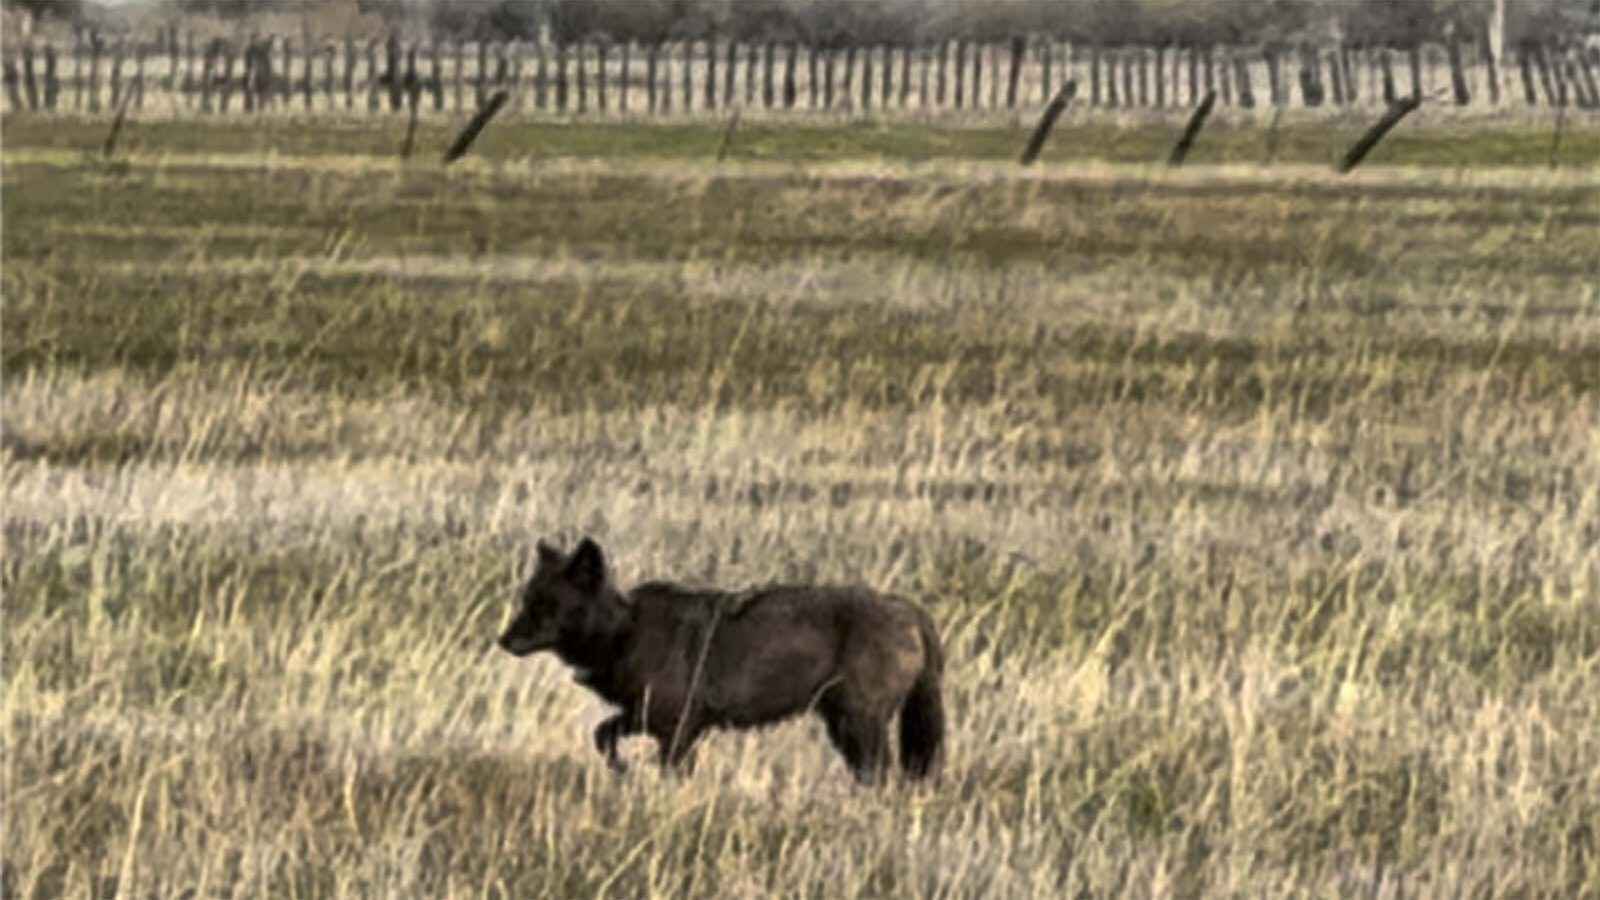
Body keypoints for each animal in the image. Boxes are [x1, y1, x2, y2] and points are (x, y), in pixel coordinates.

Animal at [497, 537, 946, 785]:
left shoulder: (678, 732)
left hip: (858, 727)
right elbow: (601, 734)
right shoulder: (648, 719)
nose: (503, 641)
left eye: (546, 605)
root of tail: (910, 610)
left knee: (885, 779)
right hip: (844, 728)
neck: (625, 632)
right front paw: (621, 768)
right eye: (526, 600)